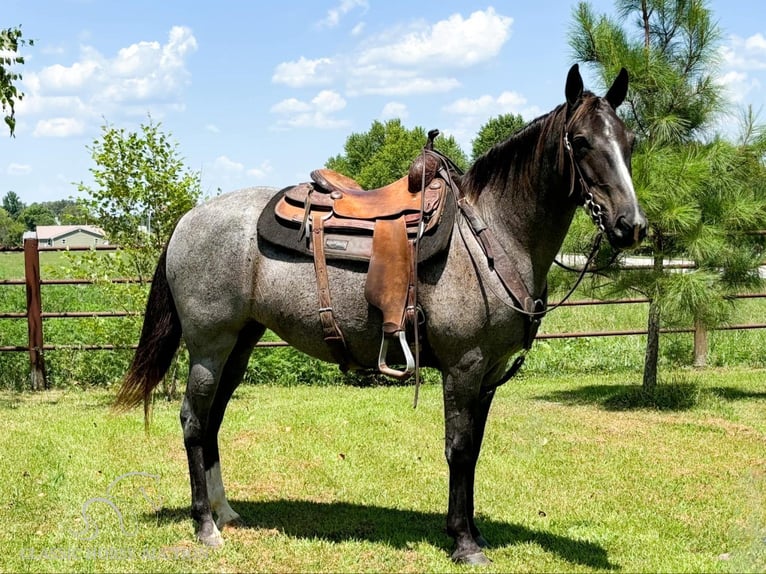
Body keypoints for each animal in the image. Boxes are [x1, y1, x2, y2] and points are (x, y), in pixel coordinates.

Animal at [115, 64, 648, 568]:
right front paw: (462, 542)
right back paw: (205, 526)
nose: (632, 226)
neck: (491, 236)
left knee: (213, 422)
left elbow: (474, 451)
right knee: (193, 421)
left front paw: (474, 533)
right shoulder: (465, 367)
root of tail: (188, 220)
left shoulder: (489, 376)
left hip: (240, 343)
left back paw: (225, 512)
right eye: (582, 142)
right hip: (210, 346)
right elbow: (458, 449)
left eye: (629, 142)